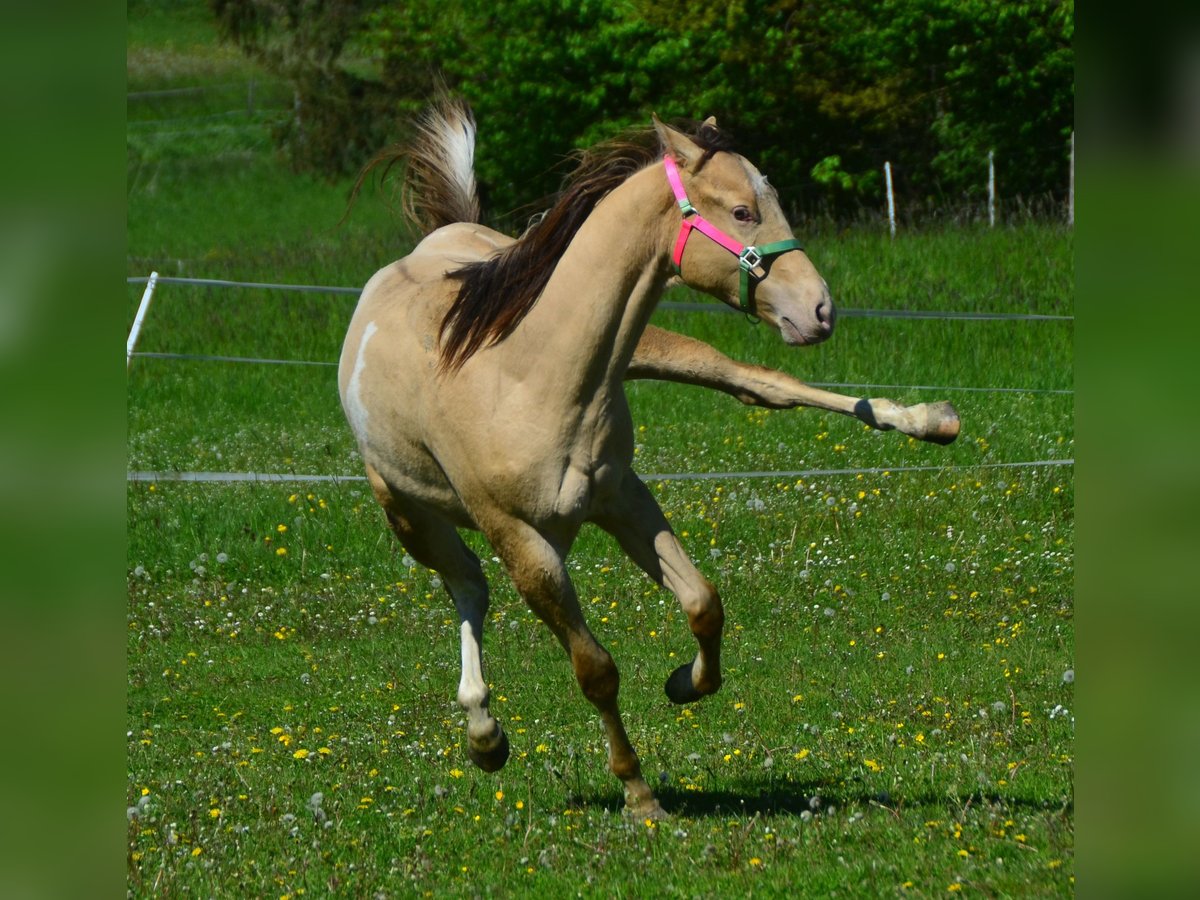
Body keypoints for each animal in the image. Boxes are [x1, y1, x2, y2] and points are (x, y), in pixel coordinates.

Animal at [343, 97, 960, 816]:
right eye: (742, 211)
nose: (821, 309)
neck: (526, 373)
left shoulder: (622, 496)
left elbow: (702, 602)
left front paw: (682, 685)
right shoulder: (522, 543)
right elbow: (595, 668)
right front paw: (639, 793)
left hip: (650, 351)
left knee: (756, 382)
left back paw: (931, 421)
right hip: (409, 516)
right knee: (467, 585)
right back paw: (484, 733)